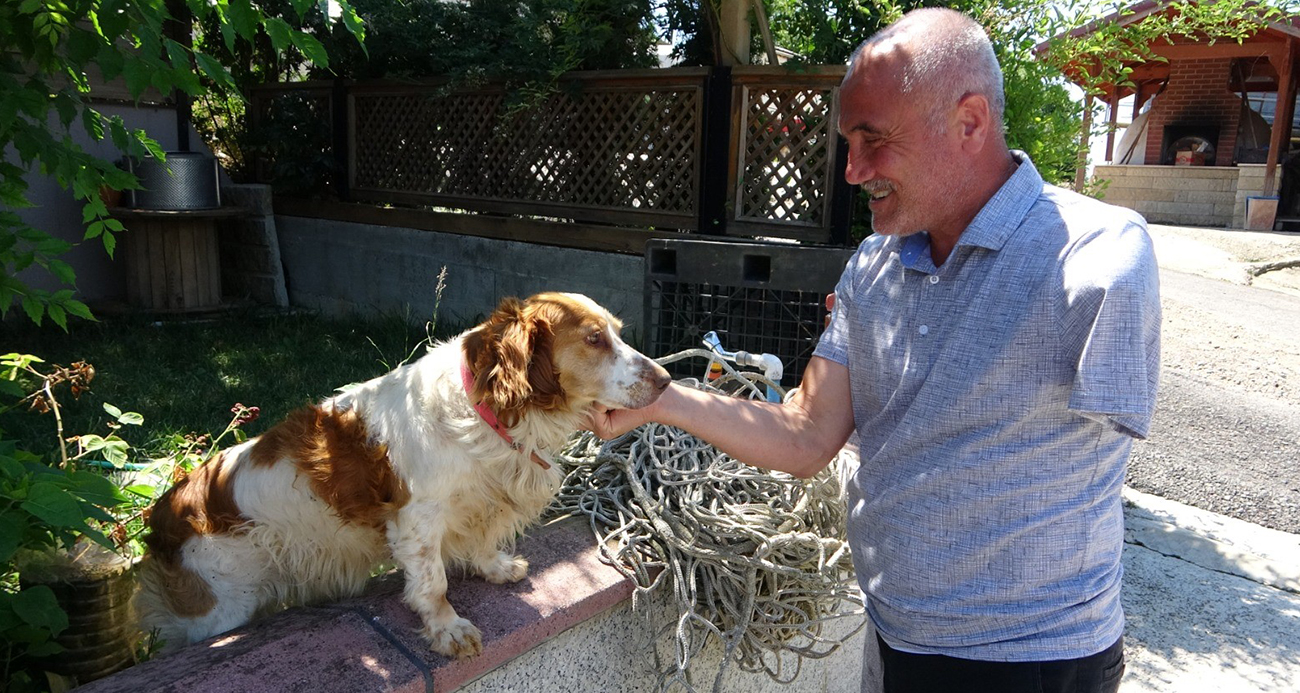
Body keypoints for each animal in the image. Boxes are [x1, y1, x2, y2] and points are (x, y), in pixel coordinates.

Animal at [134, 289, 670, 652]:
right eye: (595, 339)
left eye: (618, 332)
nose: (667, 380)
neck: (482, 412)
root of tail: (163, 512)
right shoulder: (418, 520)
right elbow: (433, 583)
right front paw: (448, 629)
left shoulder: (479, 502)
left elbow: (481, 541)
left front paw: (495, 568)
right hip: (222, 610)